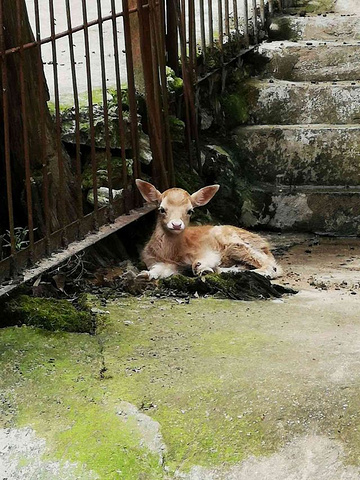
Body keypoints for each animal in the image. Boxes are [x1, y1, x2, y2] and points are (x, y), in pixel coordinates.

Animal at [135, 180, 282, 282]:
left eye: (190, 210)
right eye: (161, 209)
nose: (176, 225)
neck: (171, 254)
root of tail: (266, 246)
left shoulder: (207, 251)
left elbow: (203, 262)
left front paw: (203, 269)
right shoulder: (151, 260)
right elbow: (159, 270)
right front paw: (143, 275)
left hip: (236, 244)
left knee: (273, 267)